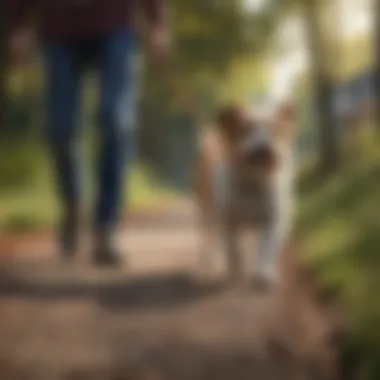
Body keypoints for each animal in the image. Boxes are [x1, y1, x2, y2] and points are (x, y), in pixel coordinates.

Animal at [196, 101, 296, 288]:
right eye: (245, 129)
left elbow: (266, 247)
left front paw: (264, 275)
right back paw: (212, 261)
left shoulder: (272, 219)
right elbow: (233, 249)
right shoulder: (229, 221)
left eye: (275, 129)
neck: (254, 185)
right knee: (210, 235)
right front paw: (235, 275)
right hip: (206, 208)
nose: (262, 149)